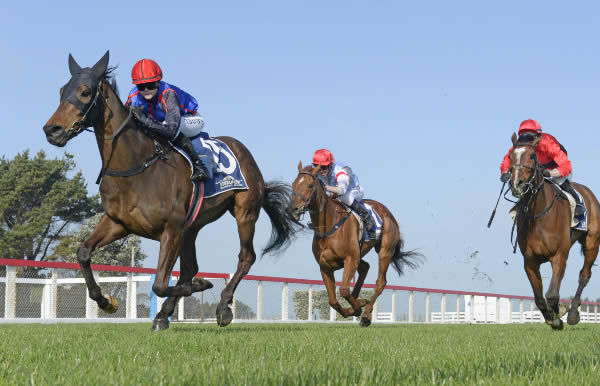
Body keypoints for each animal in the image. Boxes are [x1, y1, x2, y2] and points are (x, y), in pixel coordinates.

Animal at [42, 49, 300, 330]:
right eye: (61, 90)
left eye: (85, 92)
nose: (51, 130)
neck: (136, 167)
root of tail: (243, 150)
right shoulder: (118, 223)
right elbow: (84, 253)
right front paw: (106, 301)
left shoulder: (171, 229)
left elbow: (160, 283)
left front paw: (201, 286)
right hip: (192, 227)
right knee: (190, 267)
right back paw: (164, 313)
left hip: (244, 212)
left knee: (246, 257)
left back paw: (222, 307)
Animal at [290, 162, 422, 326]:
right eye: (293, 185)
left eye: (309, 185)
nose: (293, 209)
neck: (329, 225)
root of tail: (388, 213)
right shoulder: (325, 265)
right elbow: (333, 300)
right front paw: (354, 307)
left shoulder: (350, 259)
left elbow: (344, 290)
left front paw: (358, 308)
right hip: (360, 254)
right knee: (365, 267)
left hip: (384, 251)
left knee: (380, 282)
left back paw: (365, 315)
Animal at [506, 133, 600, 328]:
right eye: (510, 156)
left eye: (531, 156)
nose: (517, 183)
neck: (538, 216)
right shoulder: (530, 262)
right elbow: (540, 298)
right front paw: (552, 318)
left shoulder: (559, 255)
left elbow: (552, 295)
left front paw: (560, 312)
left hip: (592, 243)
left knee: (584, 275)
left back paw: (573, 313)